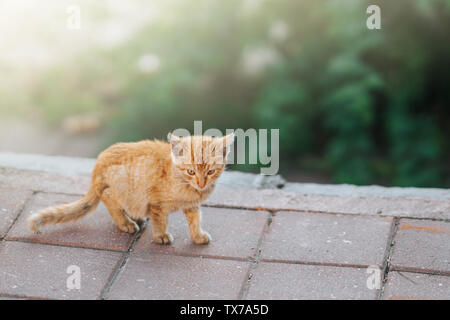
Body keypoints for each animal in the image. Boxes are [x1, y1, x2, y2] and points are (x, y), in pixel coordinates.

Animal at [27, 132, 236, 245]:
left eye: (210, 172)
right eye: (191, 171)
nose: (201, 183)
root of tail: (98, 165)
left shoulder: (192, 205)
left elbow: (195, 220)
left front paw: (197, 236)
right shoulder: (157, 202)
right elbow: (160, 220)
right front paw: (161, 236)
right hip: (121, 184)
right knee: (107, 196)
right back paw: (125, 223)